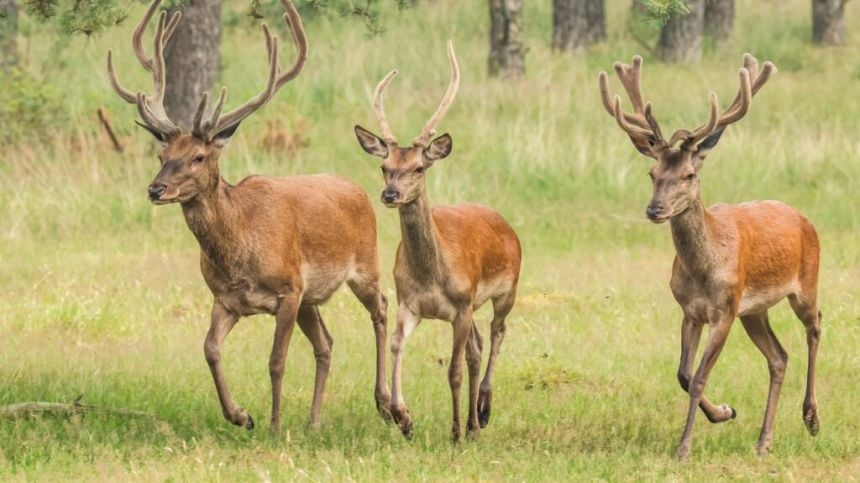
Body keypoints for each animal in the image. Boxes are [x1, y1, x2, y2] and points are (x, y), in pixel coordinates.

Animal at [106, 0, 394, 432]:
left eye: (198, 156)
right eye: (161, 155)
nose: (155, 189)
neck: (239, 249)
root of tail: (356, 187)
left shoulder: (288, 290)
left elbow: (276, 361)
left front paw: (273, 426)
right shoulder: (226, 297)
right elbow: (209, 349)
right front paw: (241, 416)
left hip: (365, 266)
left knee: (382, 310)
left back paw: (388, 405)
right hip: (312, 298)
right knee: (326, 343)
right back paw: (313, 421)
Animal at [352, 41, 520, 442]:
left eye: (418, 167)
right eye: (385, 166)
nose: (391, 194)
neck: (433, 276)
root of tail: (505, 223)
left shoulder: (460, 306)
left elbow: (454, 370)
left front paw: (454, 432)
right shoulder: (410, 303)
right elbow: (397, 345)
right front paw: (403, 416)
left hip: (507, 290)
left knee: (497, 333)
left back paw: (482, 411)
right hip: (473, 305)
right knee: (477, 345)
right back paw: (474, 424)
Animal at [596, 54, 820, 460]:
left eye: (689, 174)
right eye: (652, 172)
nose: (654, 209)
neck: (703, 270)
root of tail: (802, 217)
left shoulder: (723, 311)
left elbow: (700, 376)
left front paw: (683, 447)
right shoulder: (691, 311)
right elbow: (684, 375)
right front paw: (725, 412)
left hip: (805, 285)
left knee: (815, 329)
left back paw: (811, 417)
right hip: (754, 310)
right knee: (779, 357)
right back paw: (764, 441)